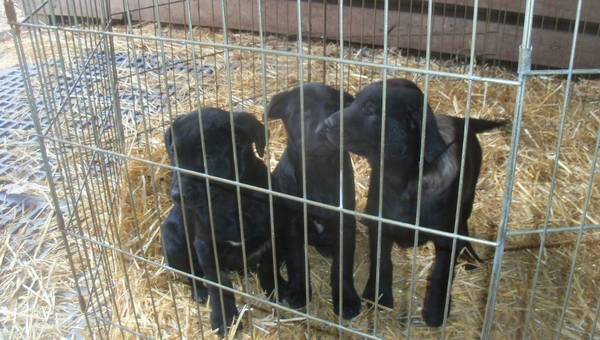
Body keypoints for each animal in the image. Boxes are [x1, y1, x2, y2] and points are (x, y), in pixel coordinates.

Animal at [159, 109, 274, 334]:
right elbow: (219, 283)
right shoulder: (205, 246)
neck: (228, 202)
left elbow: (269, 266)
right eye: (174, 155)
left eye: (208, 158)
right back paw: (200, 292)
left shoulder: (270, 234)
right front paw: (225, 320)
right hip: (171, 240)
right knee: (192, 273)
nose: (176, 195)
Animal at [268, 82, 360, 318]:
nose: (324, 129)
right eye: (302, 112)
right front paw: (299, 292)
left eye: (334, 109)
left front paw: (346, 300)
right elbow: (297, 261)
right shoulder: (293, 225)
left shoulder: (345, 224)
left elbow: (342, 266)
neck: (319, 171)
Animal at [318, 79, 506, 326]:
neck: (403, 182)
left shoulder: (445, 236)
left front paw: (435, 311)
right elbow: (382, 262)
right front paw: (378, 295)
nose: (325, 125)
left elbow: (441, 273)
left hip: (468, 197)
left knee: (463, 224)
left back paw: (468, 254)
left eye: (371, 110)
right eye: (354, 102)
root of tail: (461, 120)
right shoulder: (380, 224)